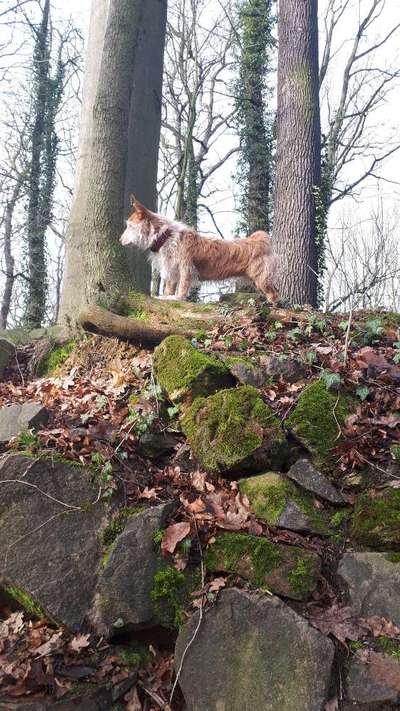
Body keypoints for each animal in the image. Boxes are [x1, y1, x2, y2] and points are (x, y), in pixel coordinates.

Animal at [120, 197, 280, 304]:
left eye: (130, 226)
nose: (120, 240)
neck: (164, 236)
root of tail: (260, 240)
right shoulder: (171, 270)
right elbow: (169, 288)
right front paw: (166, 296)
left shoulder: (186, 268)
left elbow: (182, 289)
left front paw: (176, 298)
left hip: (261, 277)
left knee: (274, 295)